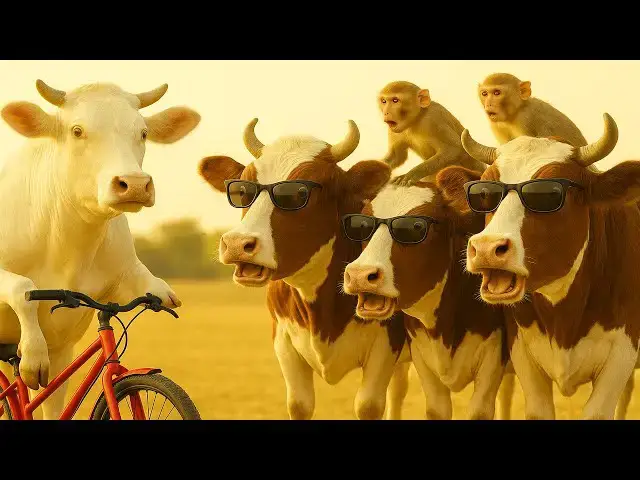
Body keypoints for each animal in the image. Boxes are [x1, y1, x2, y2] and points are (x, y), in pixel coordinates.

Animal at [0, 80, 201, 419]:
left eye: (143, 132)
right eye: (77, 131)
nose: (134, 184)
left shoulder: (62, 345)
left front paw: (163, 295)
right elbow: (21, 287)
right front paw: (32, 355)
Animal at [198, 118, 411, 420]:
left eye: (299, 193)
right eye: (241, 190)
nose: (238, 243)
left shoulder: (386, 345)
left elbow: (368, 405)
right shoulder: (283, 342)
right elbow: (300, 405)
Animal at [341, 175, 508, 420]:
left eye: (416, 227)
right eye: (362, 224)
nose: (360, 275)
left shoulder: (494, 357)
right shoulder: (422, 355)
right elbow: (437, 410)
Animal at [437, 113, 640, 419]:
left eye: (548, 194)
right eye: (484, 192)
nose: (486, 248)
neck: (564, 316)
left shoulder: (621, 354)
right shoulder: (522, 353)